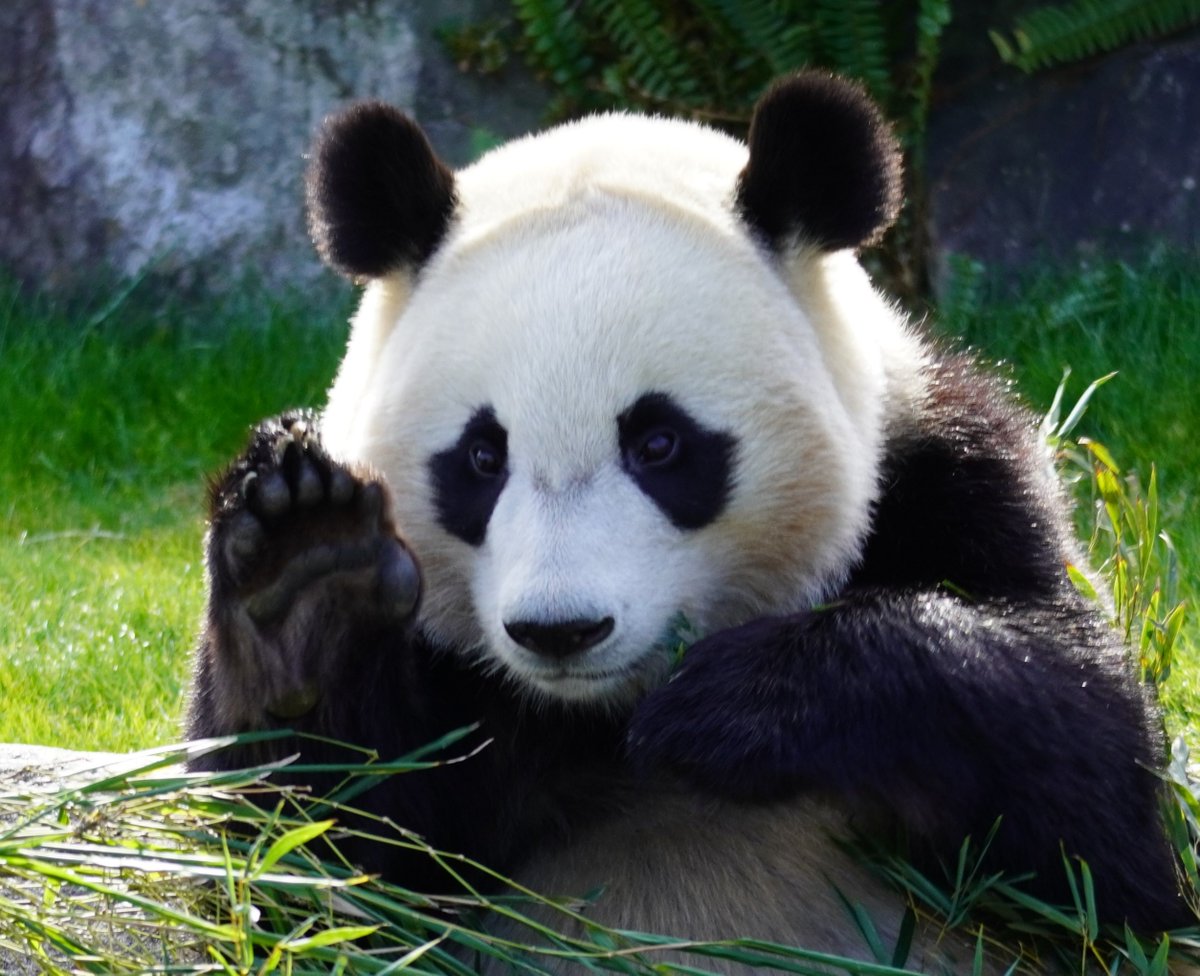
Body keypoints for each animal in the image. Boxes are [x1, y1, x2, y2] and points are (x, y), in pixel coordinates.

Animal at [187, 71, 1189, 968]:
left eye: (659, 444)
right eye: (481, 458)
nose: (561, 631)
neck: (596, 717)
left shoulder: (948, 472)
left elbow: (1093, 798)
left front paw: (737, 706)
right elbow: (309, 865)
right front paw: (307, 572)